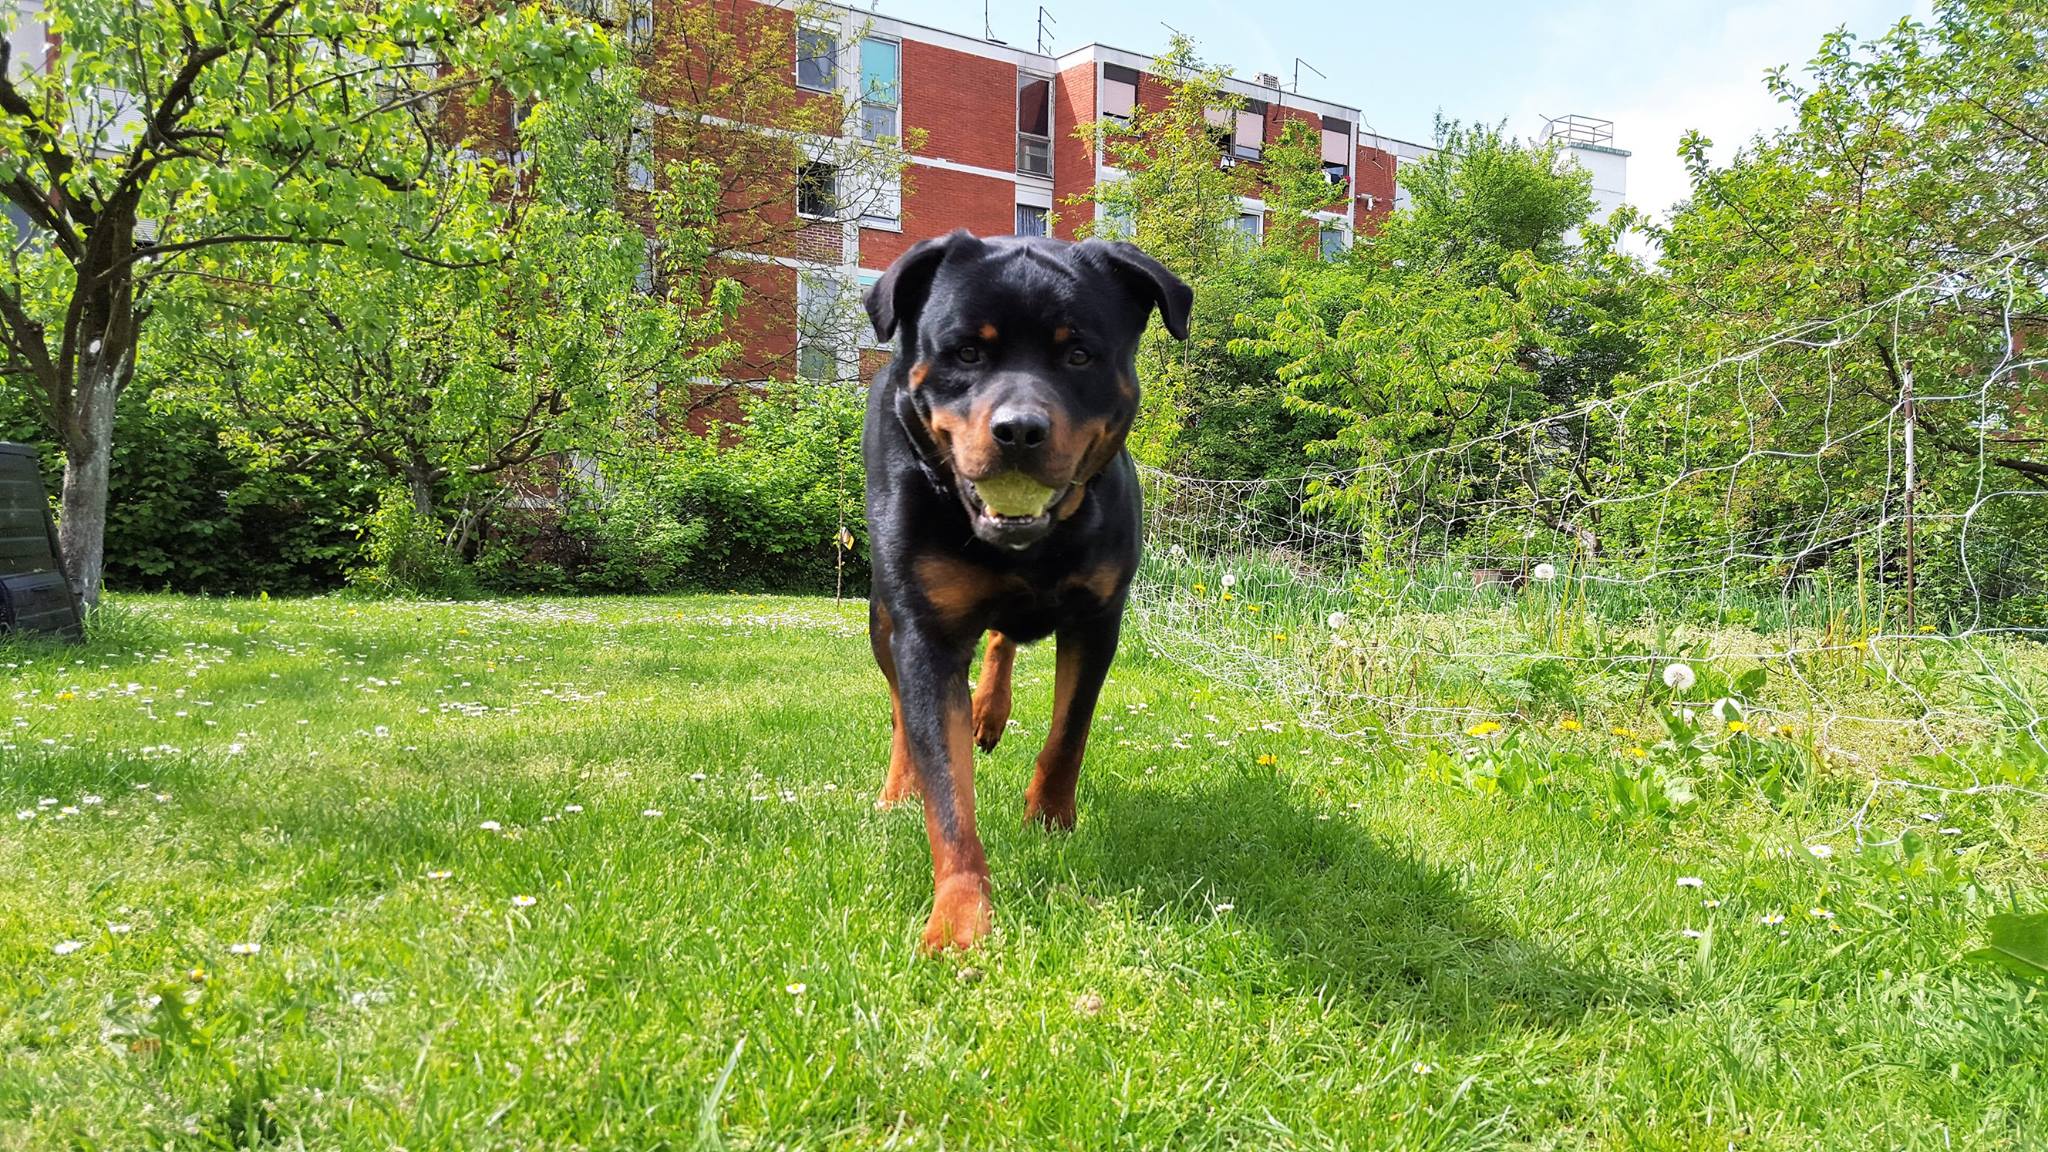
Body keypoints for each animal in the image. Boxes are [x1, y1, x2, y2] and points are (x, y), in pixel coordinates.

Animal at [856, 228, 1196, 947]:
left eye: (1078, 353)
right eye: (965, 352)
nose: (1018, 428)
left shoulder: (1099, 618)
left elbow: (1069, 733)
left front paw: (1049, 819)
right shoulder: (924, 632)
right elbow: (946, 789)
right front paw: (960, 917)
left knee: (1003, 637)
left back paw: (991, 706)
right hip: (880, 613)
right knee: (901, 708)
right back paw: (901, 785)